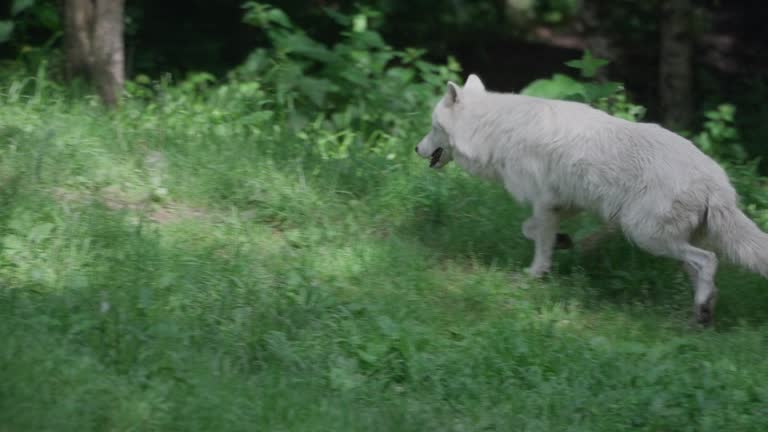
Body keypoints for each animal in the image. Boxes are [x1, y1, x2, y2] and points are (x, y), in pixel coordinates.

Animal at [415, 74, 768, 325]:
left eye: (432, 126)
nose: (416, 149)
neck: (495, 130)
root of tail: (716, 183)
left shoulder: (544, 202)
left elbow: (537, 241)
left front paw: (535, 274)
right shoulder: (564, 204)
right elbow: (531, 230)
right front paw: (563, 242)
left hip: (646, 236)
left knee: (709, 261)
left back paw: (702, 309)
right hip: (668, 241)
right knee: (703, 272)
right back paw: (703, 311)